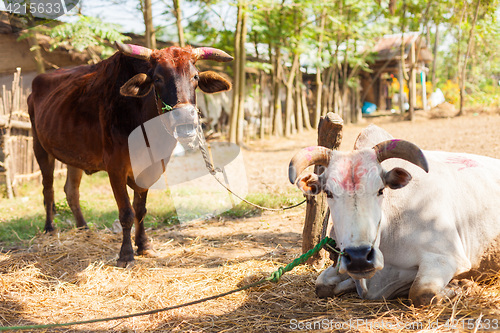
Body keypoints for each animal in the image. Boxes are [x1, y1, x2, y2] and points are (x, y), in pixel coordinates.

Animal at [26, 42, 231, 266]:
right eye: (157, 78)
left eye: (195, 76)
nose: (184, 117)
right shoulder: (115, 168)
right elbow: (126, 212)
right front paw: (125, 254)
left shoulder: (151, 167)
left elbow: (140, 209)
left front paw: (144, 245)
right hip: (39, 147)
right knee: (48, 189)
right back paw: (49, 228)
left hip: (73, 155)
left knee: (71, 191)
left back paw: (84, 228)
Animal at [288, 125, 500, 306]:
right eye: (329, 193)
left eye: (381, 190)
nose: (359, 257)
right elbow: (322, 285)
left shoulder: (447, 257)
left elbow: (422, 292)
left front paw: (462, 285)